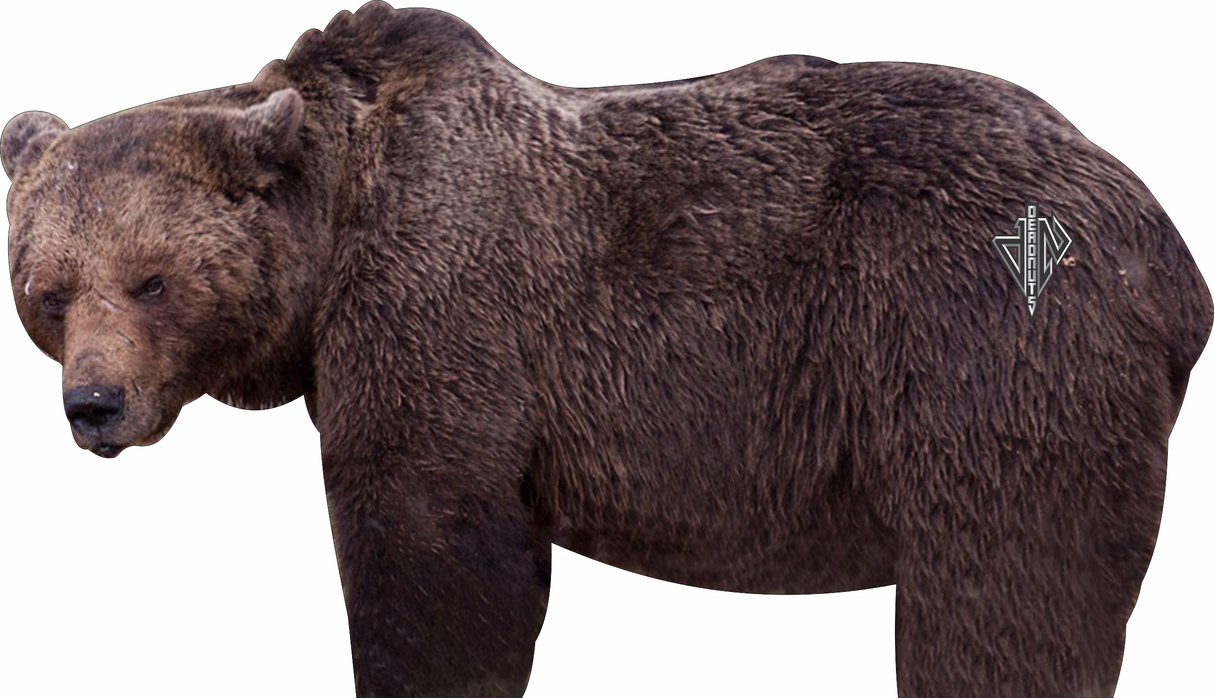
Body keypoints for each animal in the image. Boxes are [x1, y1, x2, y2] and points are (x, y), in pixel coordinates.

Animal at [3, 3, 1211, 697]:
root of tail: (1164, 240)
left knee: (1001, 594)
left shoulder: (442, 317)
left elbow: (434, 560)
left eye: (152, 279)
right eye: (47, 292)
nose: (94, 405)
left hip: (987, 341)